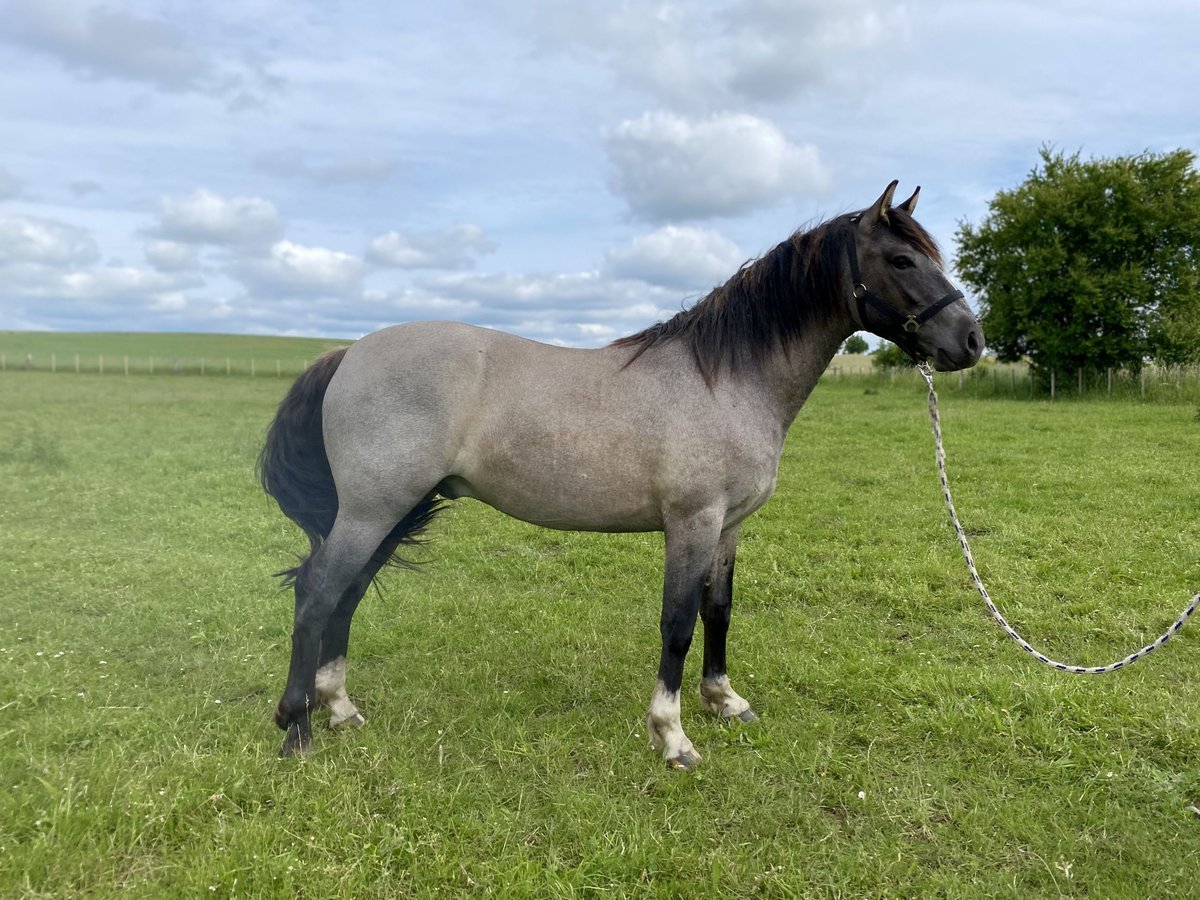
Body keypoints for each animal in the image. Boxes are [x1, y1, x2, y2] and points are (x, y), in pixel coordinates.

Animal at [258, 181, 979, 768]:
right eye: (902, 260)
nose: (970, 341)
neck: (726, 378)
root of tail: (349, 352)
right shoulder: (691, 523)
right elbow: (678, 624)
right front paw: (672, 736)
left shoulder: (729, 528)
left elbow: (719, 611)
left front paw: (724, 702)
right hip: (371, 510)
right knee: (318, 595)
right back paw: (297, 729)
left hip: (391, 511)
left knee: (345, 595)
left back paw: (340, 709)